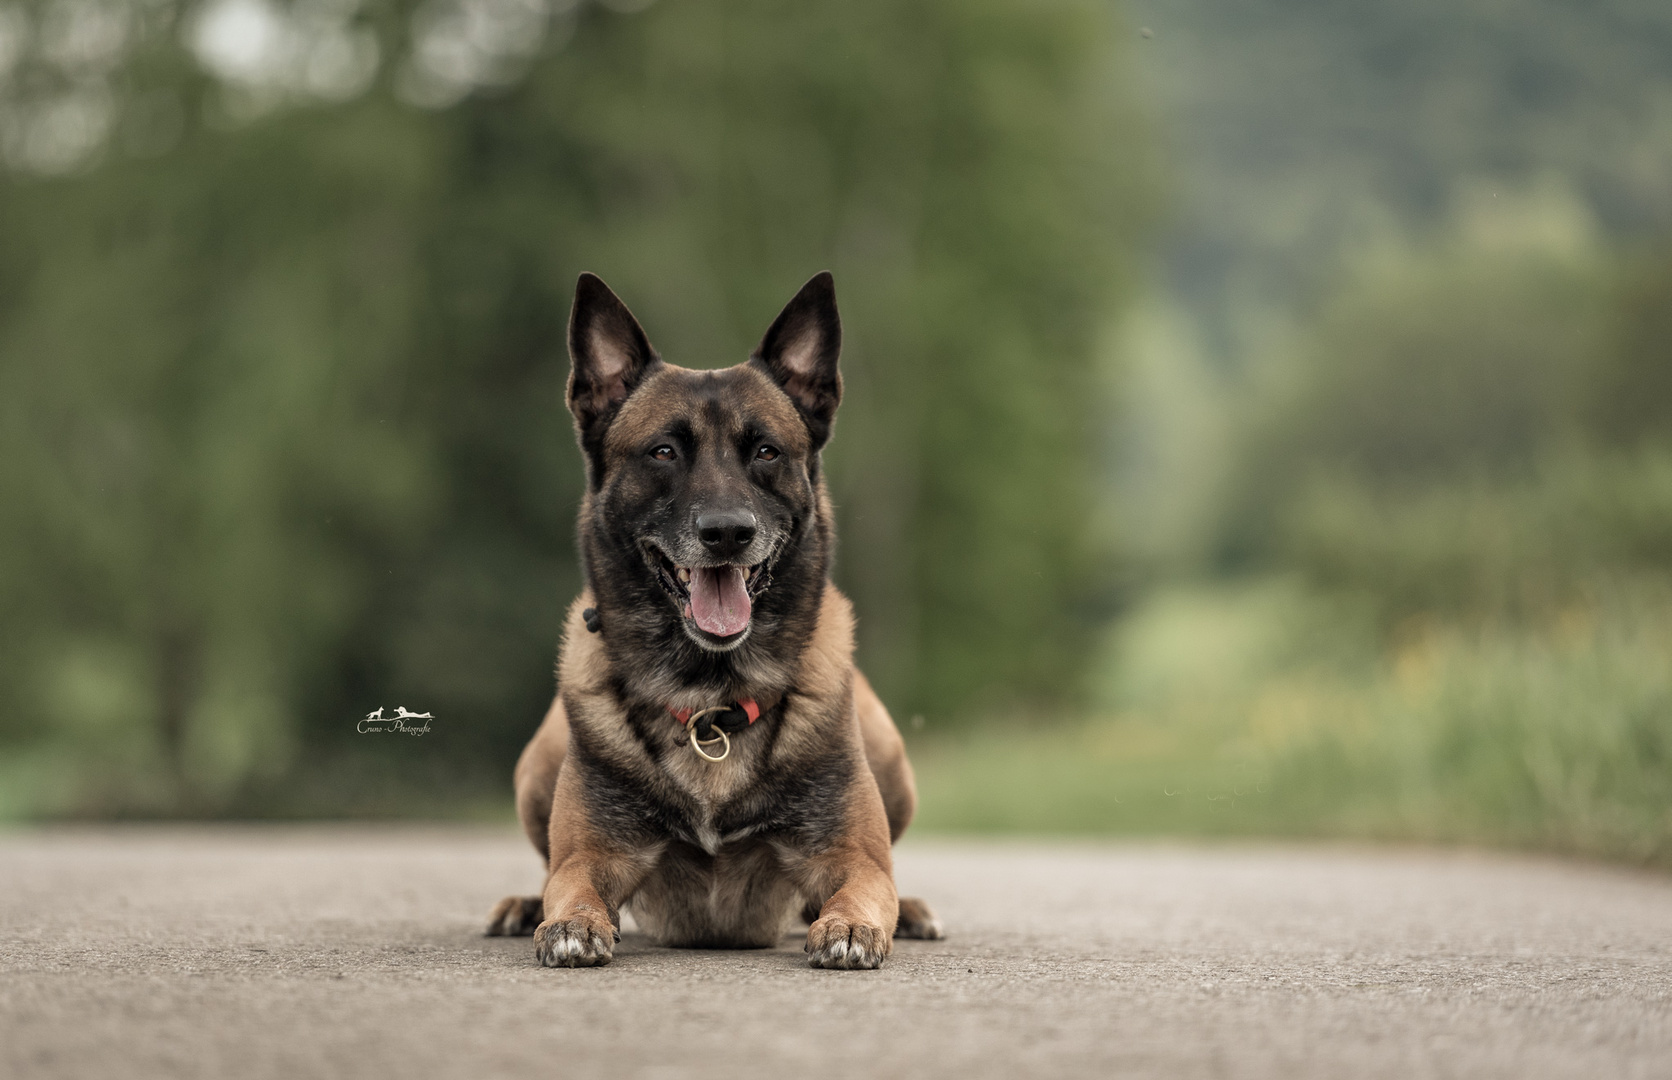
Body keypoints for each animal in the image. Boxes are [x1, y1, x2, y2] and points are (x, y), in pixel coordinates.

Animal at [488, 270, 949, 976]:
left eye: (766, 451)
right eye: (662, 452)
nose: (727, 532)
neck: (710, 698)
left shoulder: (851, 859)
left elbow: (864, 890)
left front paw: (848, 926)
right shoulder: (591, 855)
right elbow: (571, 885)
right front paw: (568, 922)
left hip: (891, 757)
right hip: (537, 763)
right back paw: (522, 905)